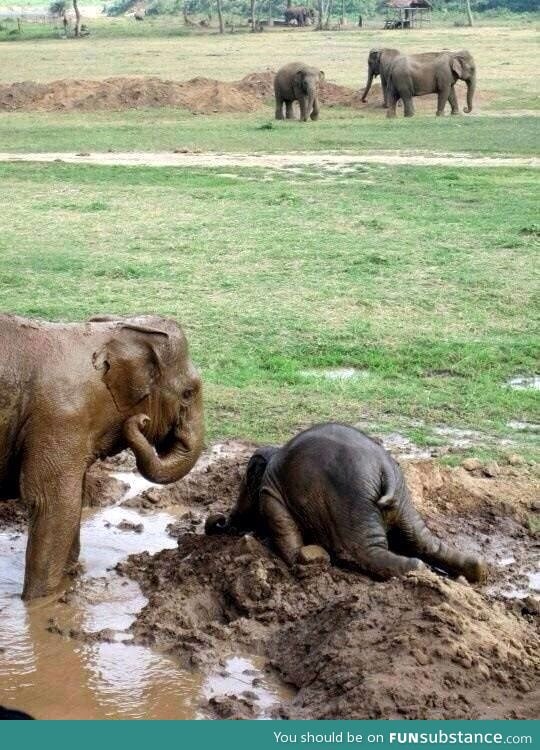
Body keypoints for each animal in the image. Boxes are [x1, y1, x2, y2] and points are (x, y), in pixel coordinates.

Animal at [0, 314, 205, 604]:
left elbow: (73, 500)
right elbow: (53, 503)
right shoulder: (60, 419)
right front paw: (38, 603)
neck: (109, 333)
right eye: (188, 393)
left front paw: (70, 580)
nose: (142, 421)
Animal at [205, 426, 488, 584]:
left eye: (246, 479)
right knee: (423, 541)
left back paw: (419, 571)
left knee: (361, 551)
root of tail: (385, 470)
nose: (217, 520)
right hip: (402, 499)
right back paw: (471, 571)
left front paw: (301, 560)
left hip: (351, 503)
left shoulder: (271, 494)